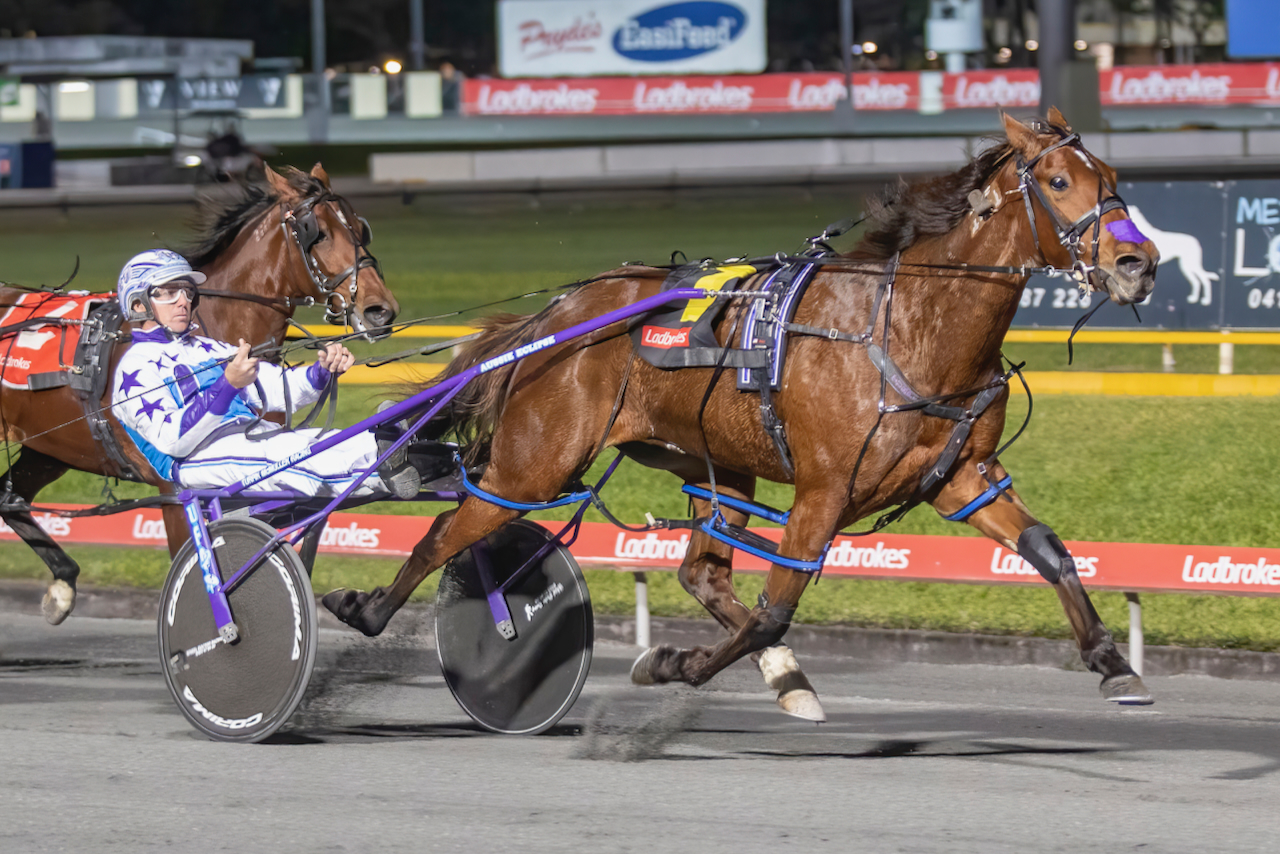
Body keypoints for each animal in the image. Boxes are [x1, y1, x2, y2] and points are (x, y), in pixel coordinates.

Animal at [0, 163, 398, 625]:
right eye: (316, 232)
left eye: (360, 228)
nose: (380, 311)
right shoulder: (176, 491)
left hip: (48, 448)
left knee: (9, 498)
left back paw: (63, 583)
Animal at [322, 110, 1161, 715]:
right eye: (1058, 179)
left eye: (1115, 176)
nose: (1138, 262)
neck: (908, 325)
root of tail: (559, 313)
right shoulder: (825, 491)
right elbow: (776, 607)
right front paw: (679, 662)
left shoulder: (961, 476)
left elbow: (1048, 548)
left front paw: (1112, 662)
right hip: (536, 462)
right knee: (449, 527)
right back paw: (366, 609)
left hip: (714, 464)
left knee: (700, 571)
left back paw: (784, 678)